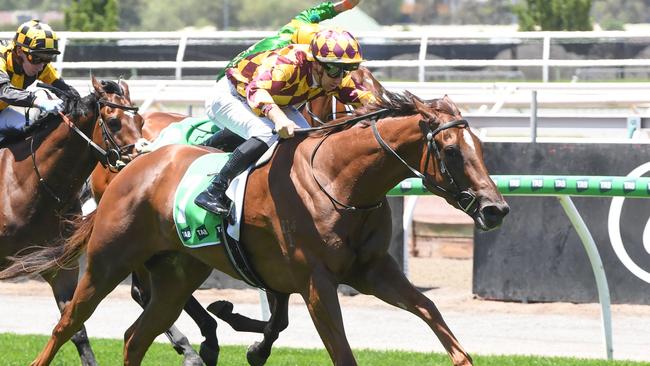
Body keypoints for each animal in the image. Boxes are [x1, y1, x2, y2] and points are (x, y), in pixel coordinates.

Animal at [7, 90, 508, 364]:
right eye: (450, 149)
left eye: (480, 146)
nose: (495, 209)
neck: (336, 179)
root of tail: (135, 163)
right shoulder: (316, 282)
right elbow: (338, 349)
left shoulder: (372, 270)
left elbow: (430, 310)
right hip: (109, 260)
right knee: (68, 323)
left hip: (177, 274)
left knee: (136, 336)